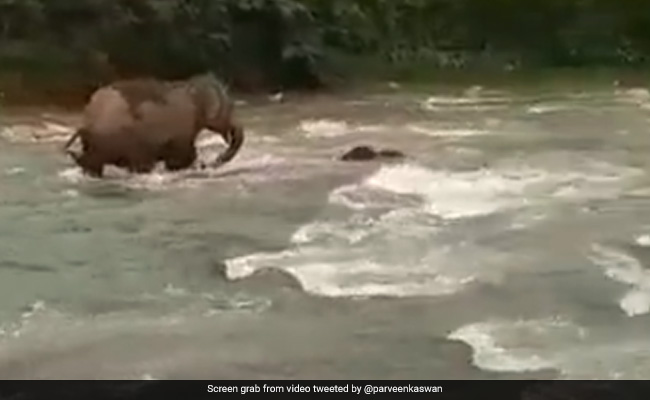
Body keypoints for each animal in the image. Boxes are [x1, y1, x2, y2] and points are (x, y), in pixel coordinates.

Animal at [63, 73, 244, 177]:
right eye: (231, 108)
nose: (215, 159)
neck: (191, 86)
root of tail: (86, 119)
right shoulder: (182, 129)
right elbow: (182, 157)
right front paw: (192, 167)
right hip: (123, 137)